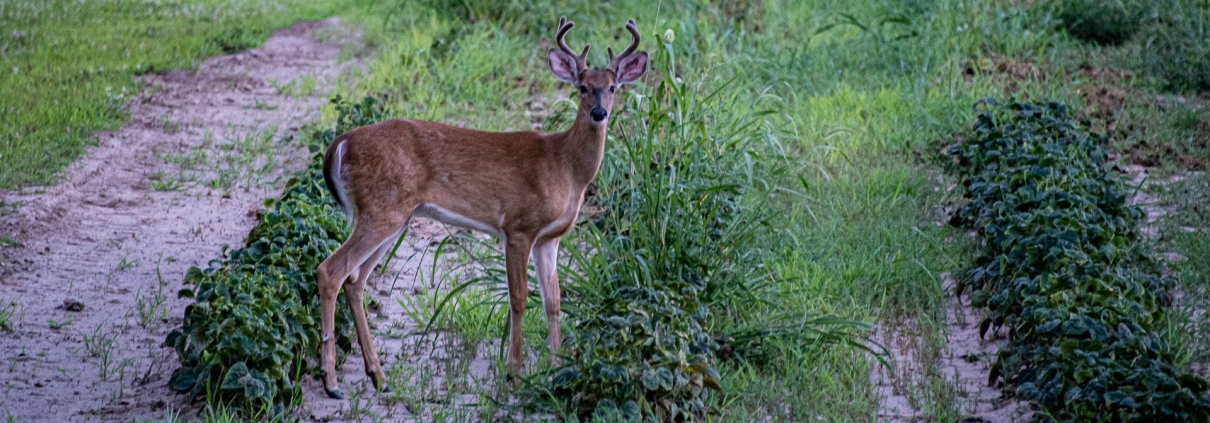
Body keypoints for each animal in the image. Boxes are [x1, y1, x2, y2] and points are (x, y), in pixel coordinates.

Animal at [317, 17, 648, 398]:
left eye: (612, 87)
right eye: (581, 87)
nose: (599, 112)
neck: (564, 165)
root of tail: (340, 144)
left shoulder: (550, 238)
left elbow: (553, 301)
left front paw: (556, 369)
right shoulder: (518, 226)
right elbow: (519, 298)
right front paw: (514, 374)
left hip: (391, 216)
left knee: (355, 280)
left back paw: (378, 376)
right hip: (381, 210)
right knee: (330, 270)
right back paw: (331, 381)